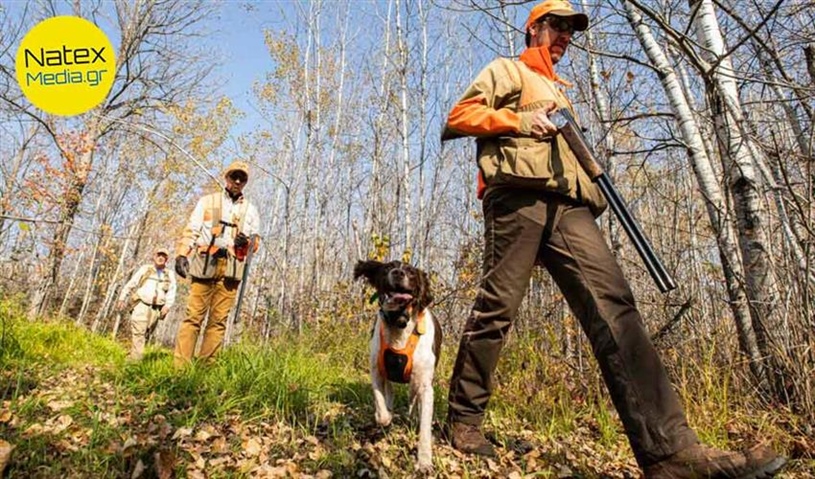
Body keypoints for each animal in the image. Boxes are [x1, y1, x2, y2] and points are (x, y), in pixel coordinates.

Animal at [350, 260, 440, 470]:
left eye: (412, 273)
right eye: (388, 267)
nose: (398, 273)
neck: (399, 323)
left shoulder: (425, 386)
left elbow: (425, 427)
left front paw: (424, 461)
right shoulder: (377, 372)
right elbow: (381, 406)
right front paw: (386, 417)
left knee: (412, 400)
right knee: (390, 394)